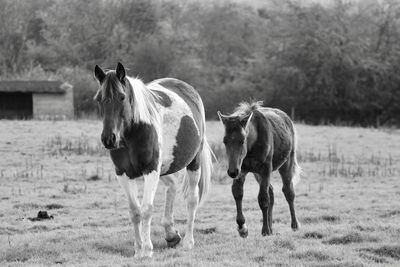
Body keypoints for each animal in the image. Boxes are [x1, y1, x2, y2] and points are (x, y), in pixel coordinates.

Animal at [93, 62, 212, 260]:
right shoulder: (123, 174)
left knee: (192, 200)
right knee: (172, 186)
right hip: (164, 168)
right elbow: (134, 211)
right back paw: (171, 234)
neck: (132, 133)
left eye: (122, 96)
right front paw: (138, 249)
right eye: (98, 99)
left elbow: (146, 209)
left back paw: (188, 241)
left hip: (192, 163)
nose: (109, 139)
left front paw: (147, 250)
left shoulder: (150, 169)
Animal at [219, 102, 300, 239]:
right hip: (257, 173)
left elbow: (263, 199)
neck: (253, 144)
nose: (232, 172)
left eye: (242, 140)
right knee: (271, 191)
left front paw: (265, 230)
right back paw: (272, 227)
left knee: (288, 191)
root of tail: (288, 119)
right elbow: (238, 193)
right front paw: (242, 228)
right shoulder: (242, 169)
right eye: (225, 140)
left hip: (286, 163)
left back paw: (294, 225)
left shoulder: (265, 169)